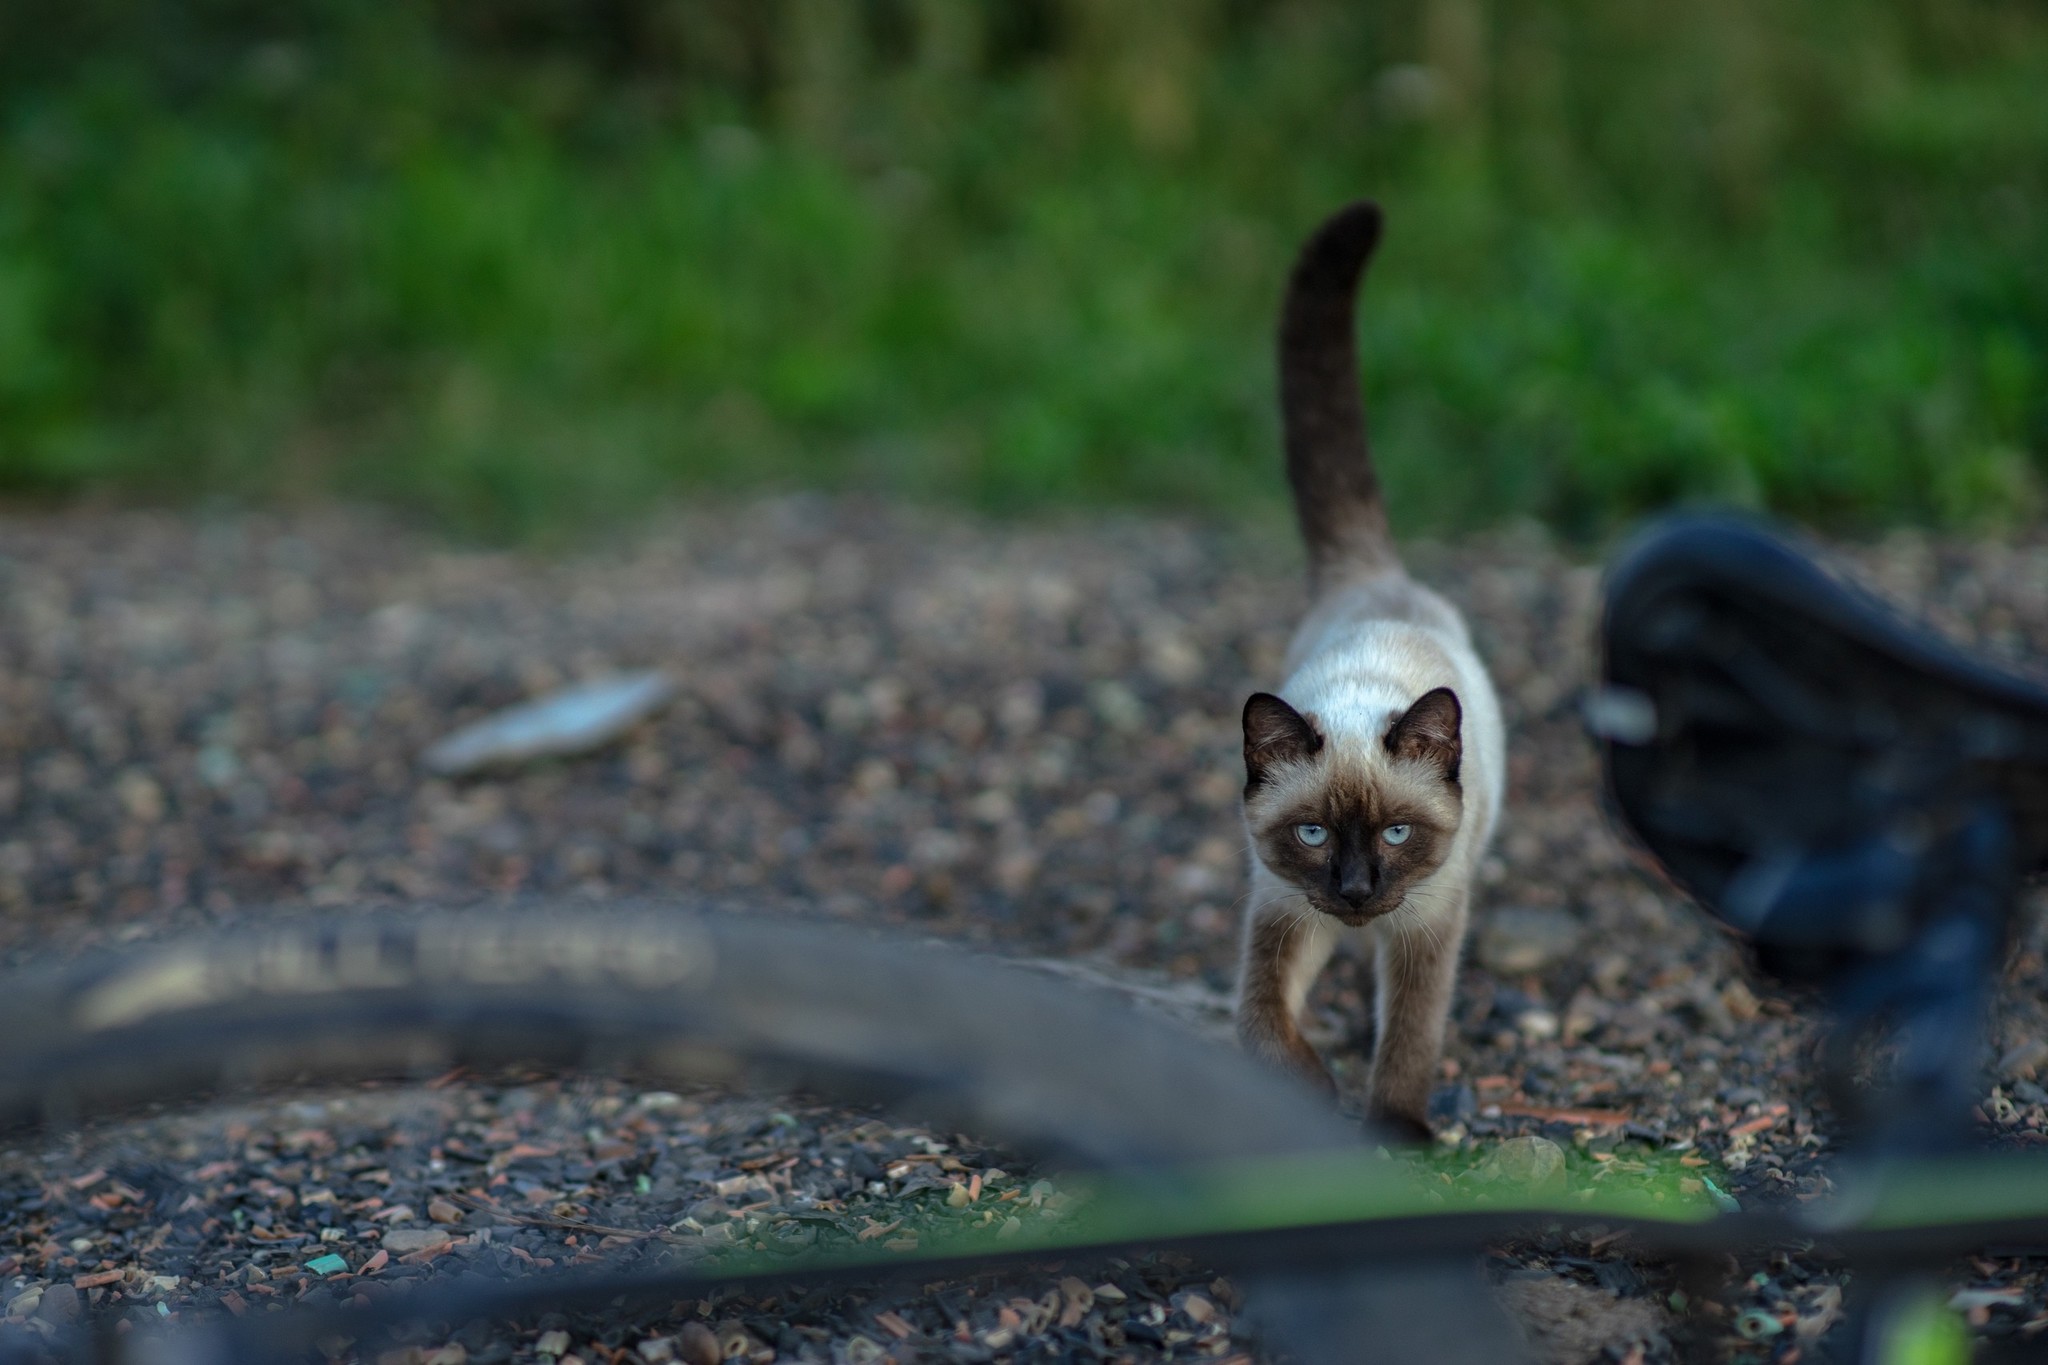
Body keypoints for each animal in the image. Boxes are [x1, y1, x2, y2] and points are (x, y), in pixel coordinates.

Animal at [1228, 200, 1507, 1146]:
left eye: (1394, 834)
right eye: (1314, 834)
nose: (1354, 891)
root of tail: (1372, 573)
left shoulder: (1427, 925)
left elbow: (1412, 1036)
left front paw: (1396, 1131)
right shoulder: (1280, 912)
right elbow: (1265, 1021)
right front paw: (1308, 1098)